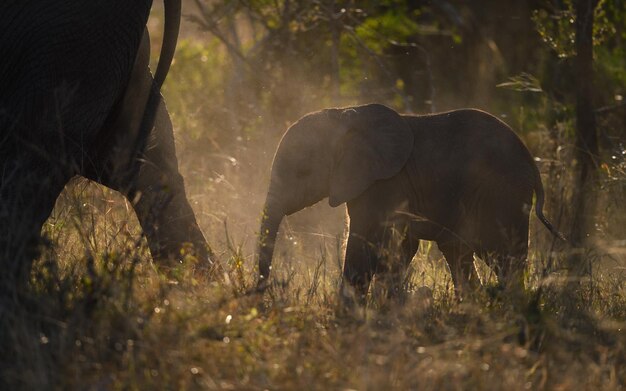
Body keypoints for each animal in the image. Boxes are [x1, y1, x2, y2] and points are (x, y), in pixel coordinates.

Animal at [256, 104, 564, 304]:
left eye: (302, 172)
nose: (262, 296)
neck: (343, 115)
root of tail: (532, 164)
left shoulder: (384, 183)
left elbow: (367, 242)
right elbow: (398, 246)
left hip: (502, 195)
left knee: (502, 257)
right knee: (458, 253)